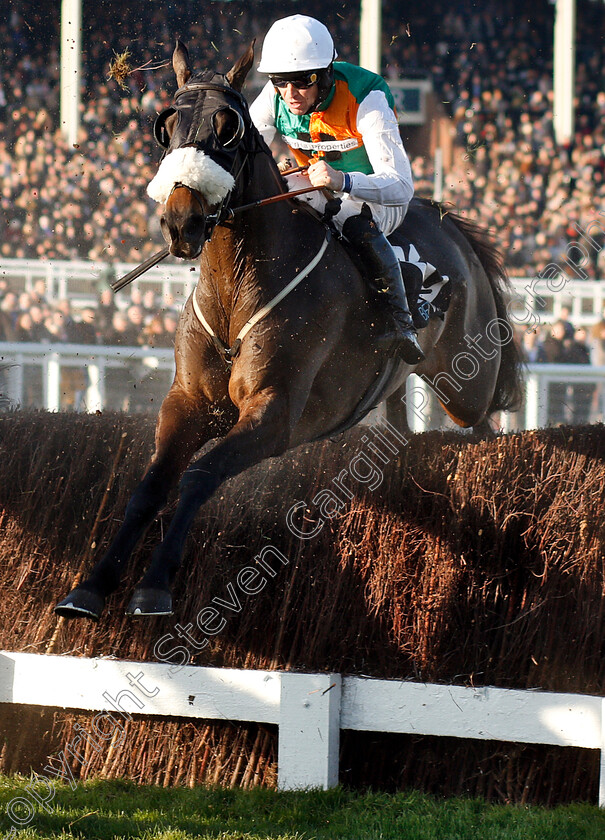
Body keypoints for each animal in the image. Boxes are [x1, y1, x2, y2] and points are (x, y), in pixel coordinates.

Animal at [55, 42, 524, 620]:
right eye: (167, 126)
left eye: (226, 127)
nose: (182, 221)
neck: (237, 290)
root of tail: (449, 225)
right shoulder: (188, 401)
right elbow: (150, 486)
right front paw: (90, 586)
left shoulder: (274, 411)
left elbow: (198, 476)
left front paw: (155, 586)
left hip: (465, 384)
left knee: (483, 416)